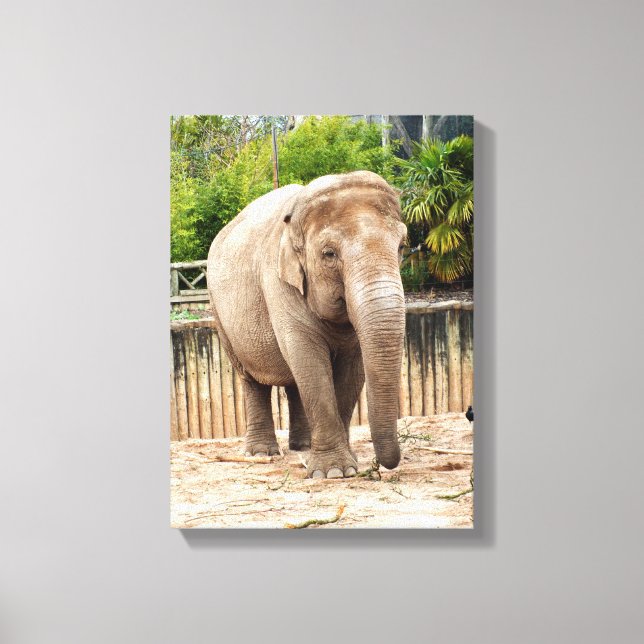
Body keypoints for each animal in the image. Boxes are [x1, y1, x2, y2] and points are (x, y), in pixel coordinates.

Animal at [207, 170, 407, 479]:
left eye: (402, 246)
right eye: (329, 254)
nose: (383, 464)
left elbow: (352, 367)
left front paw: (346, 464)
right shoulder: (278, 283)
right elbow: (308, 358)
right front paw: (334, 472)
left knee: (293, 381)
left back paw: (302, 447)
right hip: (219, 313)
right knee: (252, 379)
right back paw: (261, 453)